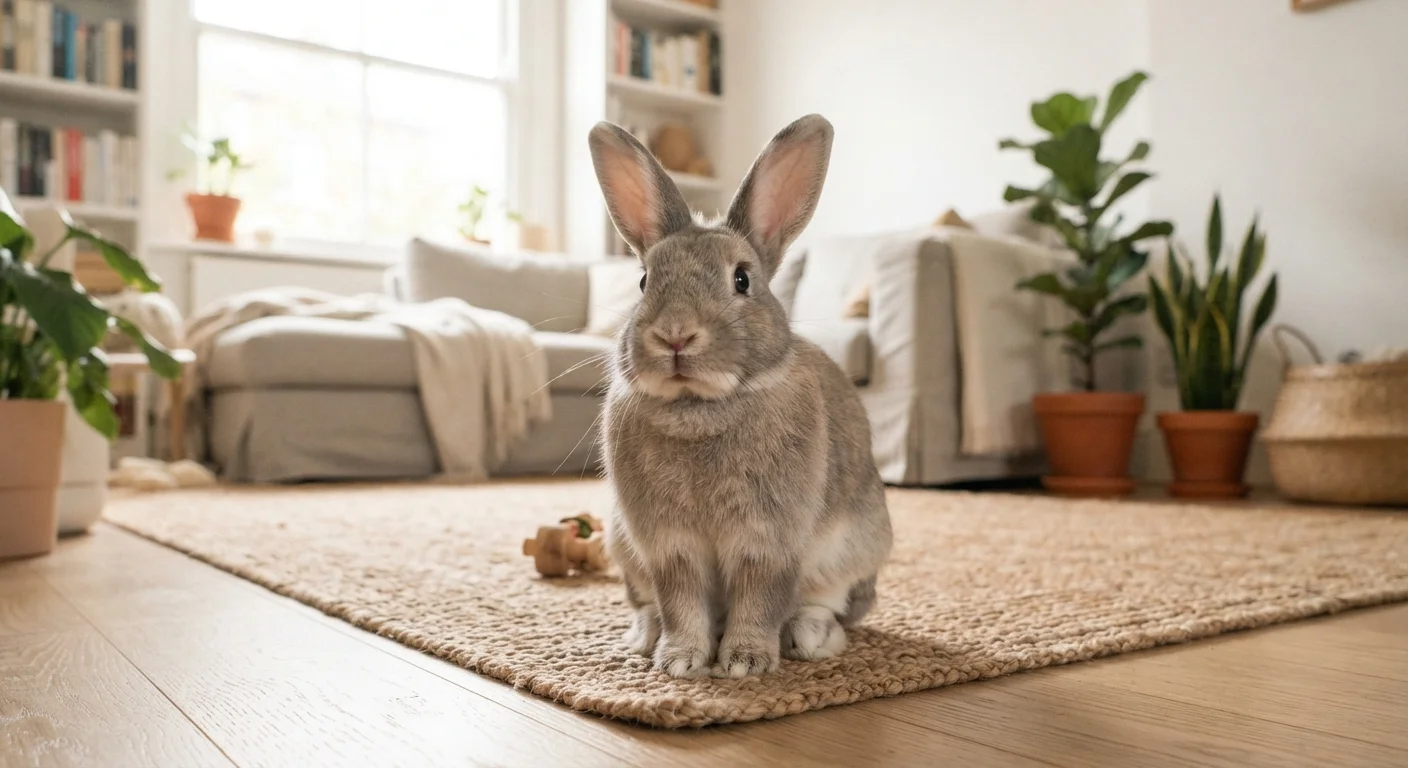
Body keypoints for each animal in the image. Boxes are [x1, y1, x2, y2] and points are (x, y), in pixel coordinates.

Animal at [587, 114, 893, 679]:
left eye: (743, 279)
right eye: (644, 281)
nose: (676, 335)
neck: (699, 406)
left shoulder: (768, 541)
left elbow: (760, 598)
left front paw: (746, 663)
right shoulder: (669, 547)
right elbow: (680, 601)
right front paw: (681, 661)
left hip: (856, 549)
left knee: (831, 604)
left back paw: (809, 636)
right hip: (621, 543)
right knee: (648, 603)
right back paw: (644, 636)